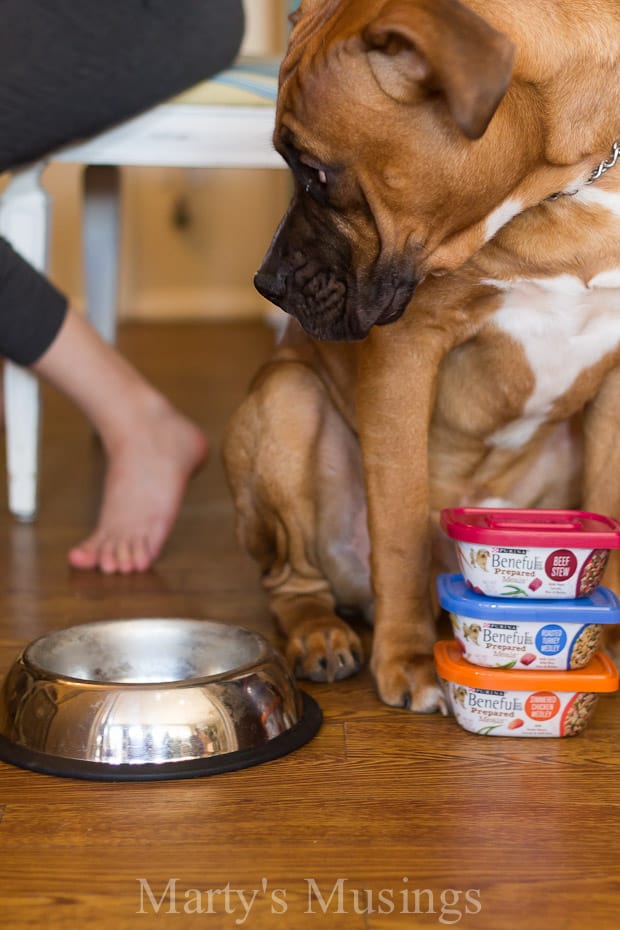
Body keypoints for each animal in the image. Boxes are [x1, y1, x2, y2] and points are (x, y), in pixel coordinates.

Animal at [222, 0, 620, 712]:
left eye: (316, 172)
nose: (268, 283)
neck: (571, 185)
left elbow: (610, 507)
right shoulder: (406, 351)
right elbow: (400, 528)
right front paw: (408, 660)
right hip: (285, 401)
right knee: (291, 581)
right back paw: (319, 633)